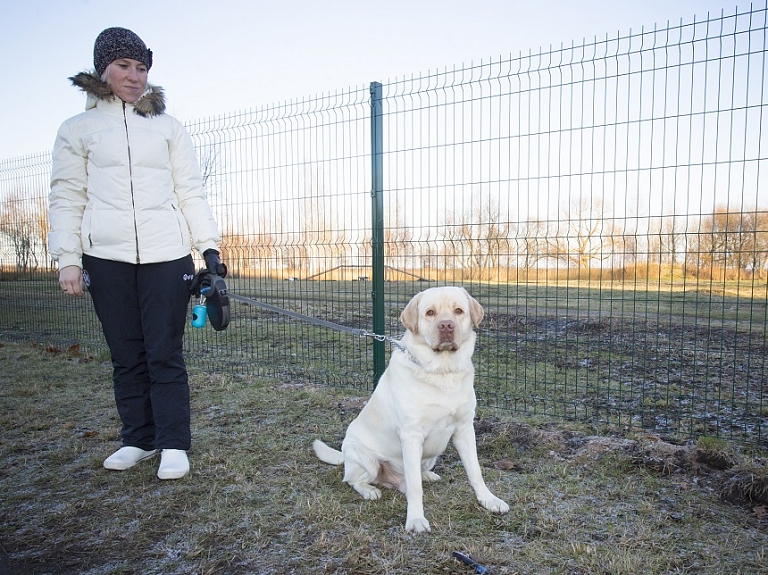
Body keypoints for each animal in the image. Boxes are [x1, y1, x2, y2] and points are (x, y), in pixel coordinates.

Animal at [314, 286, 510, 532]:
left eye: (458, 311)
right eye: (430, 312)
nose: (446, 325)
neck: (442, 372)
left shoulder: (465, 429)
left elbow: (475, 471)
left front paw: (489, 500)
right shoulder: (411, 435)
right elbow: (415, 487)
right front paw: (416, 519)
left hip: (430, 456)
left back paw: (427, 476)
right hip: (365, 459)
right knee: (353, 479)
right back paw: (370, 490)